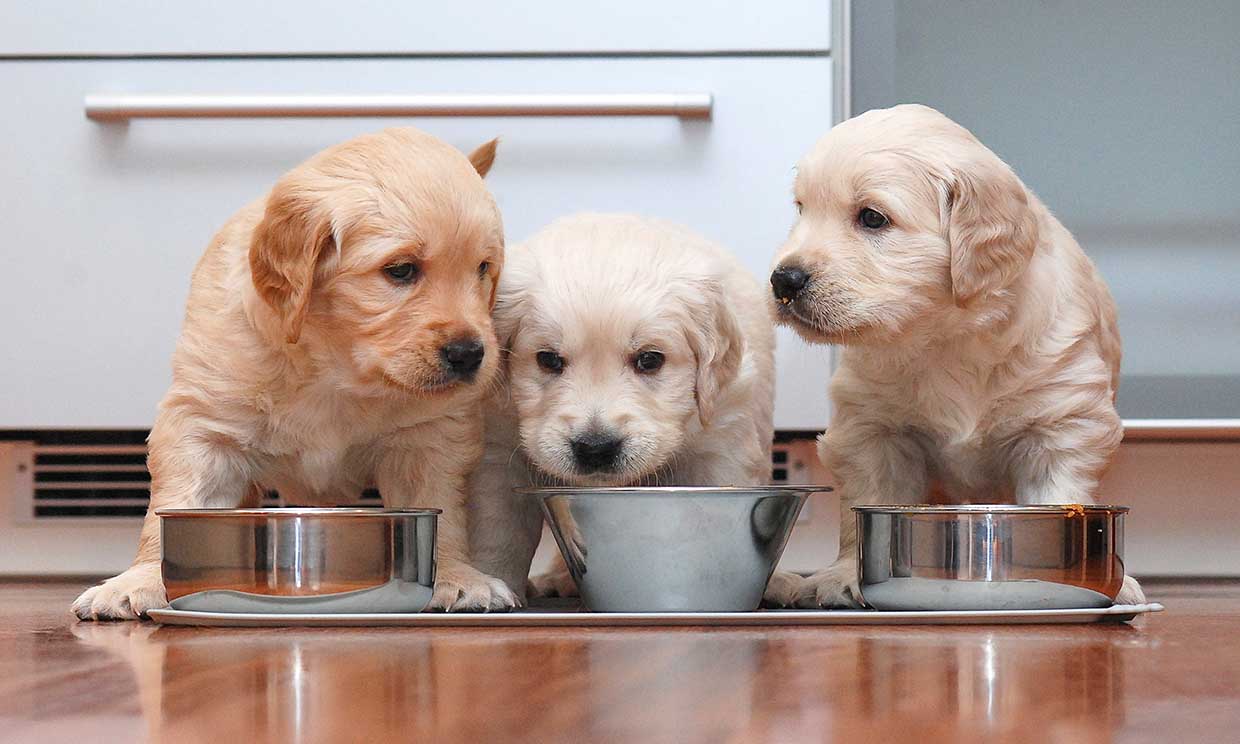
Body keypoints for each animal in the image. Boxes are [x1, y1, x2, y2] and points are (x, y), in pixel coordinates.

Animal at [72, 129, 518, 622]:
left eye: (484, 268)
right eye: (401, 270)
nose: (470, 354)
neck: (335, 367)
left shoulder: (430, 435)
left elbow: (444, 512)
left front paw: (457, 576)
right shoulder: (203, 424)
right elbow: (174, 505)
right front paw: (141, 580)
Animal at [468, 212, 778, 602]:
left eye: (649, 359)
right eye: (548, 359)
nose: (595, 448)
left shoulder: (721, 443)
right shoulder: (497, 447)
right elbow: (499, 532)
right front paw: (489, 586)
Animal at [768, 102, 1145, 605]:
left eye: (872, 218)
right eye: (801, 209)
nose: (783, 280)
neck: (946, 336)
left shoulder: (1062, 424)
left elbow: (1058, 493)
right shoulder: (872, 430)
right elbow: (864, 504)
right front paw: (846, 574)